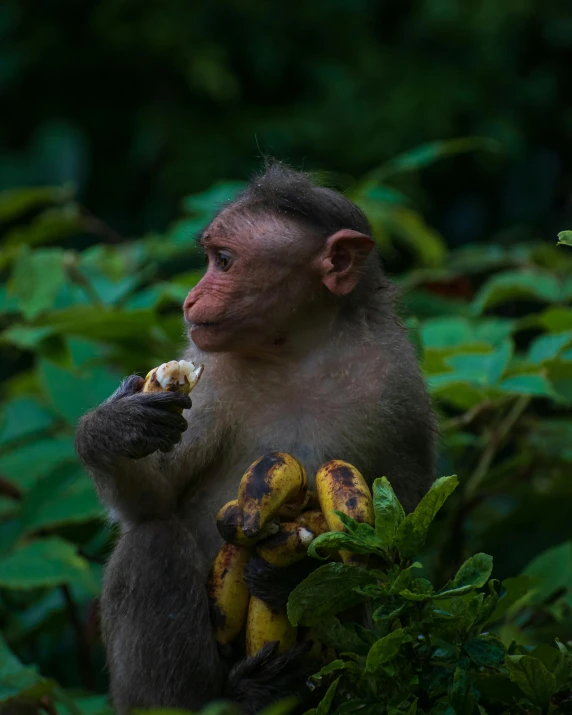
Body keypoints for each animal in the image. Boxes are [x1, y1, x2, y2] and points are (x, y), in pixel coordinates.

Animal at [73, 164, 436, 715]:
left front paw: (293, 579)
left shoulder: (399, 389)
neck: (299, 351)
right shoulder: (212, 371)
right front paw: (112, 429)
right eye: (210, 259)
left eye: (224, 262)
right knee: (153, 542)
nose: (190, 298)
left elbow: (391, 558)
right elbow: (153, 505)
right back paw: (226, 696)